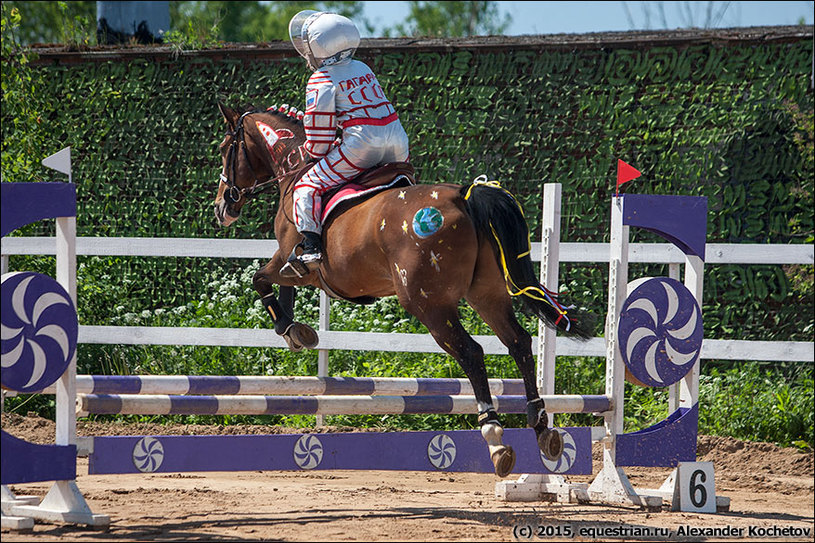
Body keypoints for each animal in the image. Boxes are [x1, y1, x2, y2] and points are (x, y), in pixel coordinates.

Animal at [210, 102, 596, 476]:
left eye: (226, 147)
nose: (221, 206)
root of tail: (464, 196)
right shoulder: (297, 270)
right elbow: (276, 285)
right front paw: (298, 331)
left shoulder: (291, 260)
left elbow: (260, 279)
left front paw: (289, 329)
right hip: (486, 296)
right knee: (518, 342)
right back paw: (542, 426)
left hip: (427, 304)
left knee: (471, 352)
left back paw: (494, 435)